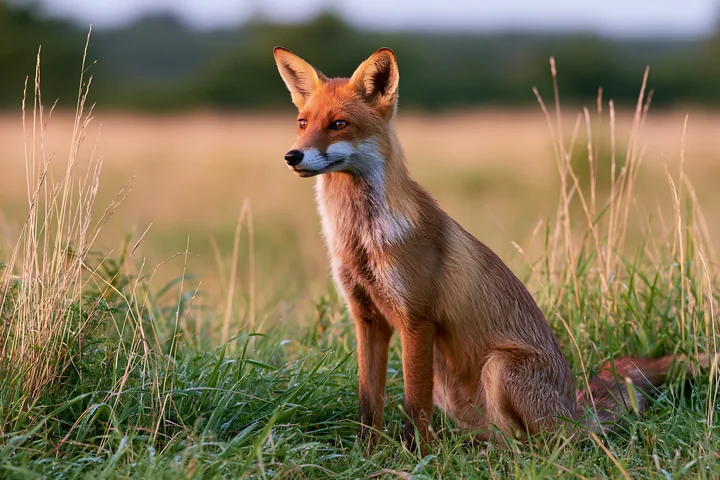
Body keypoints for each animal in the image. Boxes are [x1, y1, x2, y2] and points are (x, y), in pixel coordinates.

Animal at [272, 46, 705, 446]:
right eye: (302, 123)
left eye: (339, 124)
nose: (292, 156)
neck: (361, 241)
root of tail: (575, 412)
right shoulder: (367, 319)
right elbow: (368, 401)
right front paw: (369, 452)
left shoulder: (417, 320)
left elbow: (414, 403)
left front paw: (417, 456)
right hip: (454, 390)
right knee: (502, 436)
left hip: (497, 368)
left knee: (537, 446)